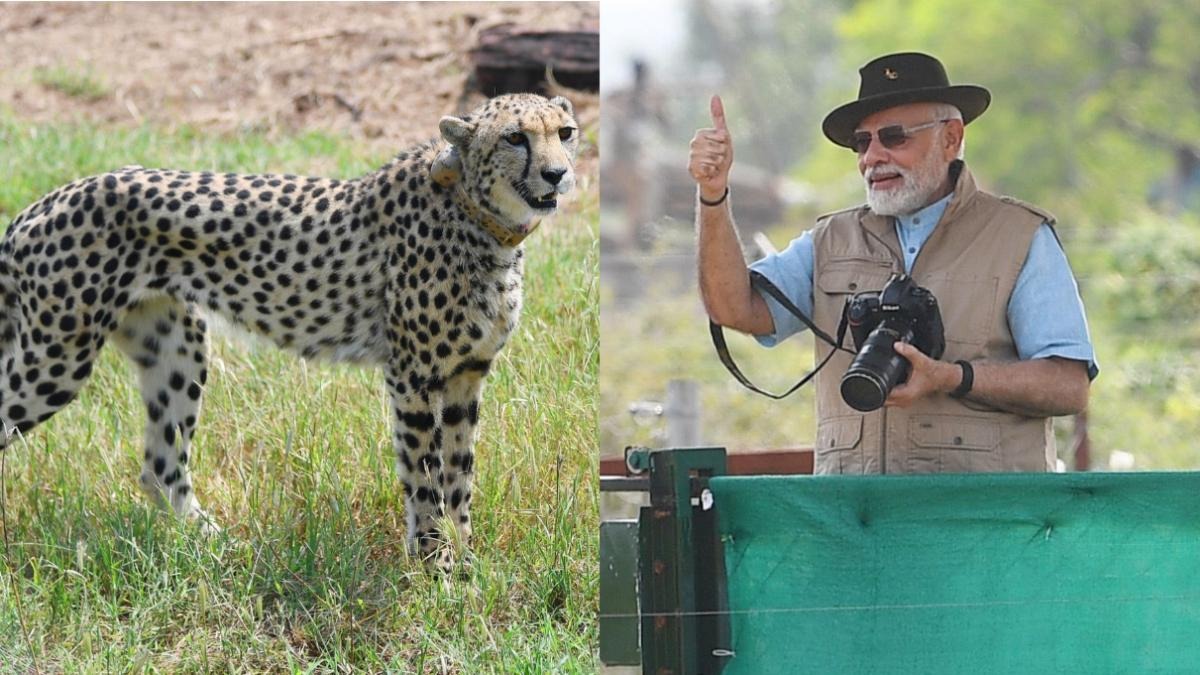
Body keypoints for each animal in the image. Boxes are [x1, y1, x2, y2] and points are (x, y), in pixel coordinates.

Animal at [0, 92, 579, 571]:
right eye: (515, 137)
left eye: (565, 132)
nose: (556, 174)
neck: (481, 218)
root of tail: (41, 204)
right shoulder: (413, 375)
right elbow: (424, 475)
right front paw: (434, 564)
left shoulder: (466, 374)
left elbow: (460, 474)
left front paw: (466, 560)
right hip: (56, 357)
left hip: (177, 347)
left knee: (160, 466)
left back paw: (212, 545)